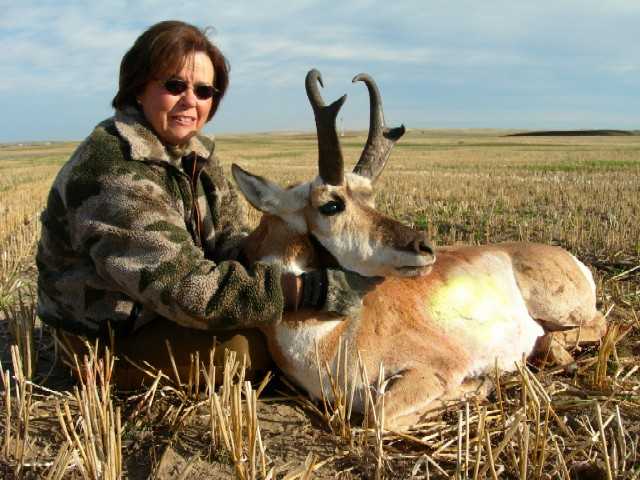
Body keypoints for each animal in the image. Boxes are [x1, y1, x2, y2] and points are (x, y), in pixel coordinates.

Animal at [232, 69, 608, 430]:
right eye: (331, 205)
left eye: (371, 198)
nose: (425, 247)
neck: (330, 334)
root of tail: (570, 258)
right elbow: (377, 414)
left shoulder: (435, 367)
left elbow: (379, 415)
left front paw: (479, 383)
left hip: (558, 308)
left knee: (597, 324)